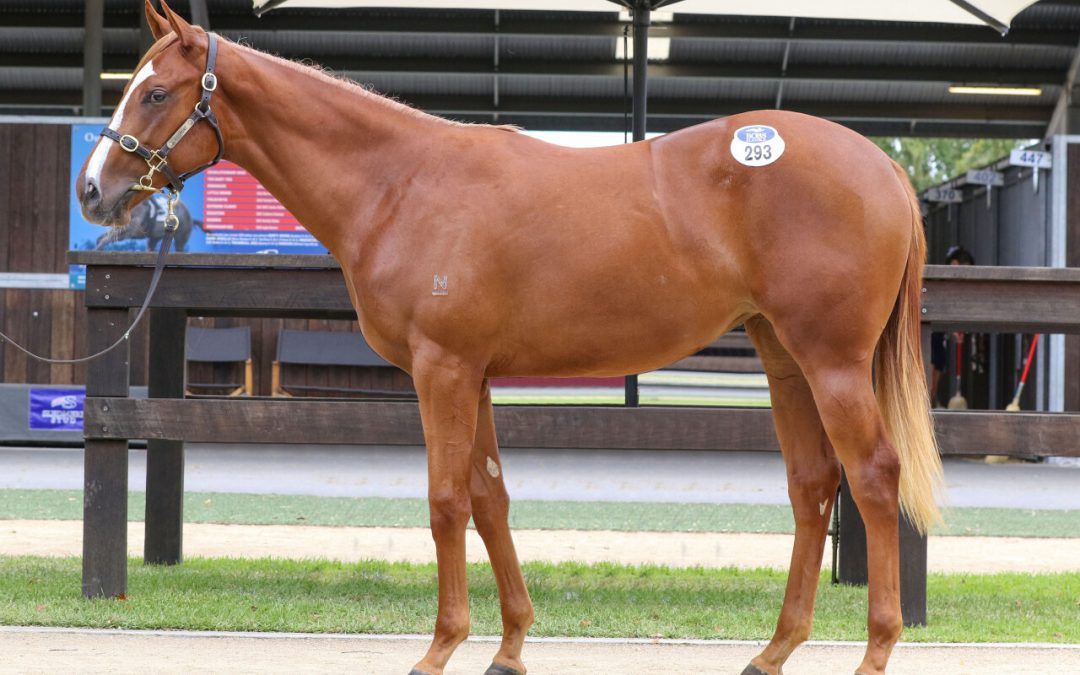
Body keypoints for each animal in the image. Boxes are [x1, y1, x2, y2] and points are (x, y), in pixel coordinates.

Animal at [79, 2, 946, 669]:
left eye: (156, 93)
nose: (92, 191)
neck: (401, 182)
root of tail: (881, 167)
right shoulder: (478, 374)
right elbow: (491, 496)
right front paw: (510, 645)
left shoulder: (442, 370)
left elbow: (445, 502)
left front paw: (440, 647)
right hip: (782, 355)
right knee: (813, 484)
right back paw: (772, 650)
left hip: (831, 361)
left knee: (873, 477)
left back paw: (876, 649)